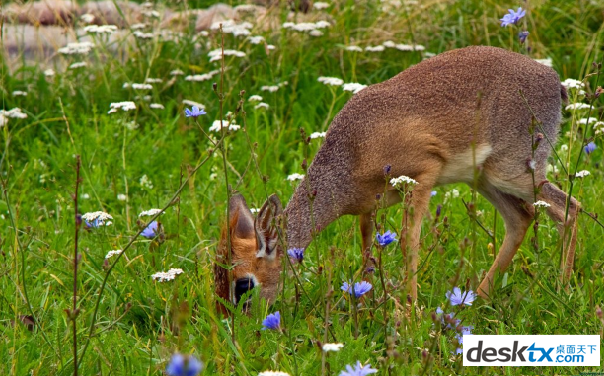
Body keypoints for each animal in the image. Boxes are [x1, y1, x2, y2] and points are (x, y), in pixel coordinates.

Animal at [216, 45, 580, 310]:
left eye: (243, 283)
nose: (239, 327)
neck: (352, 151)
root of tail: (555, 81)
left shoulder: (423, 175)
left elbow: (409, 241)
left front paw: (411, 312)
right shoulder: (369, 207)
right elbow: (367, 245)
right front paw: (367, 301)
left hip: (514, 173)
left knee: (569, 208)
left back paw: (562, 292)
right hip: (485, 180)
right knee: (522, 219)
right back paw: (478, 299)